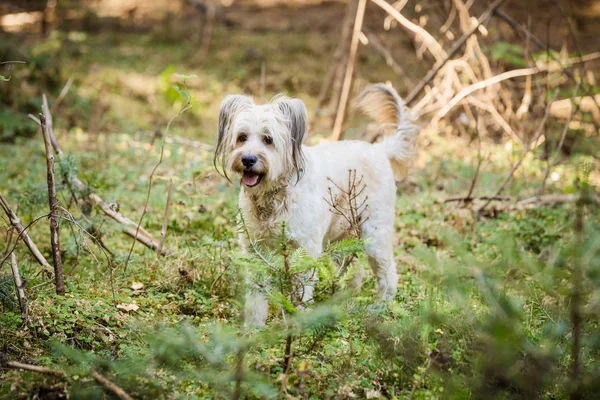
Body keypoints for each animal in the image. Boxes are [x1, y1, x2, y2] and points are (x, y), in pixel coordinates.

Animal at [214, 84, 418, 324]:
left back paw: (380, 307)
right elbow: (256, 295)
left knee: (388, 274)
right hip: (341, 238)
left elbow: (301, 289)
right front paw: (253, 327)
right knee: (354, 273)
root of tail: (379, 149)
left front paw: (298, 321)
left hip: (375, 234)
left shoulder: (306, 249)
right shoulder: (255, 249)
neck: (275, 196)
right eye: (242, 137)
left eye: (268, 139)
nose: (247, 159)